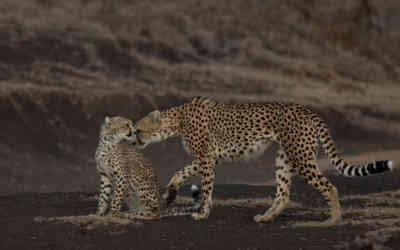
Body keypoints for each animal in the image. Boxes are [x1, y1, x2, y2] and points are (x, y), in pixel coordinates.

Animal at [132, 97, 394, 225]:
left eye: (138, 130)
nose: (134, 139)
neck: (176, 120)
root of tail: (309, 111)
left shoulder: (206, 159)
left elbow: (205, 188)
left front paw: (202, 213)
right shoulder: (209, 158)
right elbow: (179, 172)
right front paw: (171, 194)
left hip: (301, 158)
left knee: (329, 186)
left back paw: (334, 219)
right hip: (284, 159)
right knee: (283, 194)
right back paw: (267, 217)